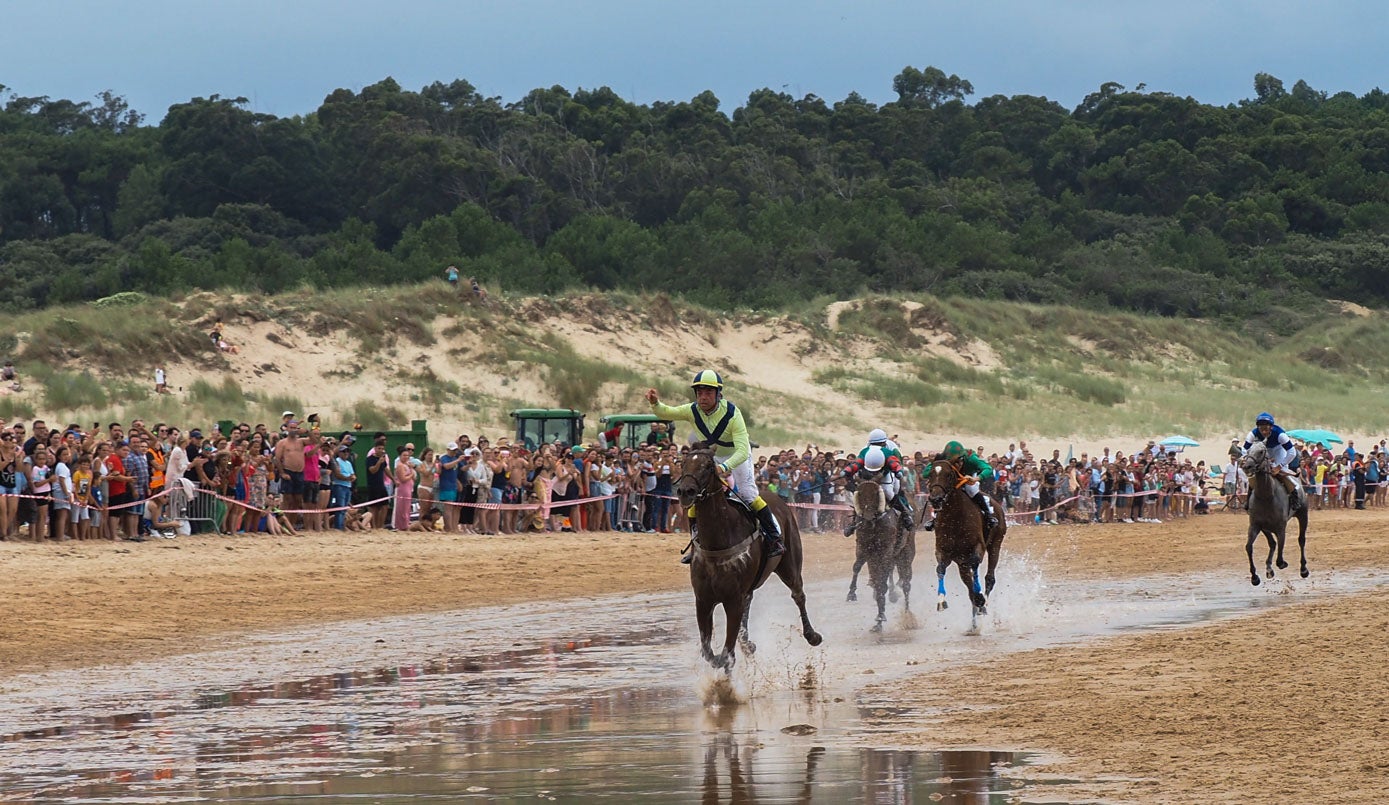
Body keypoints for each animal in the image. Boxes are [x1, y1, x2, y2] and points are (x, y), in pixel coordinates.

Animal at [675, 446, 816, 671]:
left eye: (708, 466)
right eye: (683, 463)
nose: (685, 491)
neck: (718, 541)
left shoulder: (733, 600)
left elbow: (727, 653)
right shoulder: (703, 600)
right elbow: (708, 651)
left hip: (790, 565)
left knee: (798, 595)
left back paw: (812, 635)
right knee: (750, 606)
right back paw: (747, 643)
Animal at [844, 474, 911, 632]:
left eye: (876, 493)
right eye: (860, 493)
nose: (868, 517)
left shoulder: (886, 551)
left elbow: (882, 581)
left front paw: (881, 615)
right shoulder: (864, 548)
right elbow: (859, 567)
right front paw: (852, 593)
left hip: (905, 552)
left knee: (906, 583)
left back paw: (907, 616)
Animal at [927, 455, 1005, 632]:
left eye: (949, 475)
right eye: (930, 475)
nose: (935, 499)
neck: (955, 519)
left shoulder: (978, 548)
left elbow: (975, 565)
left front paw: (980, 598)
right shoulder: (943, 551)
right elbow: (940, 569)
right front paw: (941, 601)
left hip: (995, 544)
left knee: (989, 578)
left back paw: (983, 604)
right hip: (961, 562)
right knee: (969, 589)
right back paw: (974, 622)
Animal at [1244, 441, 1305, 585]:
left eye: (1261, 451)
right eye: (1248, 451)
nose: (1247, 466)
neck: (1266, 496)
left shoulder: (1280, 527)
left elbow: (1280, 558)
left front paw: (1282, 564)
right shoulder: (1255, 525)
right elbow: (1249, 547)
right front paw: (1255, 577)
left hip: (1303, 514)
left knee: (1301, 540)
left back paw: (1304, 569)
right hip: (1265, 528)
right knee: (1272, 543)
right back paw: (1269, 569)